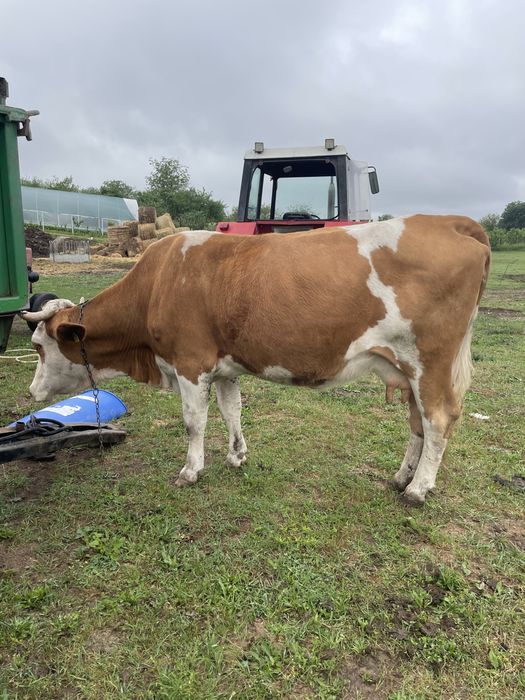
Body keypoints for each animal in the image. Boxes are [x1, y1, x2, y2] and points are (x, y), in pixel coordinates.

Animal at [22, 215, 490, 504]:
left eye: (40, 346)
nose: (31, 391)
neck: (157, 284)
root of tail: (447, 221)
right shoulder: (224, 367)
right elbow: (232, 410)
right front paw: (237, 455)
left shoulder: (191, 363)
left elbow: (194, 422)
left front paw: (191, 470)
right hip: (408, 369)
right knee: (418, 423)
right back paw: (402, 477)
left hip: (431, 363)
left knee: (438, 420)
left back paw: (418, 489)